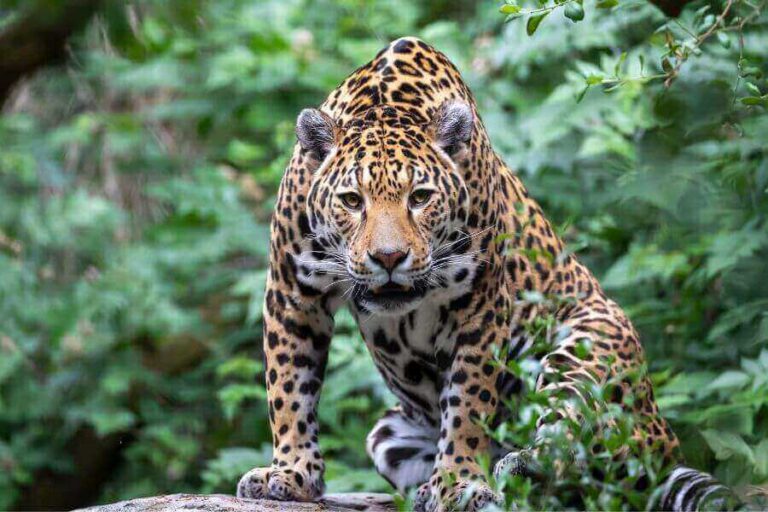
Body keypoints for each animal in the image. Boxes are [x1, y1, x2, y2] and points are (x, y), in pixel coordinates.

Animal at [235, 37, 732, 511]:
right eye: (352, 201)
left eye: (420, 197)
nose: (389, 258)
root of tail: (663, 437)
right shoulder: (292, 295)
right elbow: (288, 390)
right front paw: (292, 473)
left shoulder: (481, 303)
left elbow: (468, 404)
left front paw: (457, 482)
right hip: (388, 436)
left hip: (588, 349)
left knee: (584, 461)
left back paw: (522, 467)